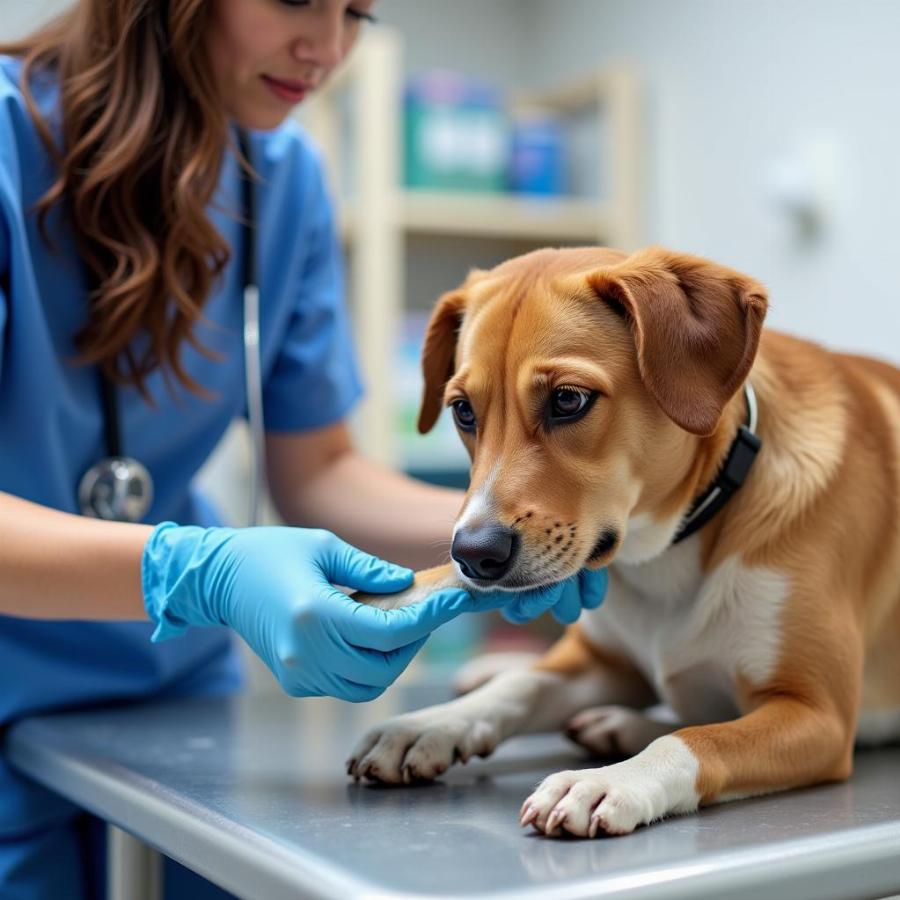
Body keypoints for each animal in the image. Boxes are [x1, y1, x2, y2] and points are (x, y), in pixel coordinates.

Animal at [346, 244, 900, 836]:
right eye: (463, 410)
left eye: (568, 400)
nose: (473, 554)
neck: (665, 554)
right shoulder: (600, 662)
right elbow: (520, 687)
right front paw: (427, 724)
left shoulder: (819, 713)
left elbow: (697, 740)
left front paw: (610, 782)